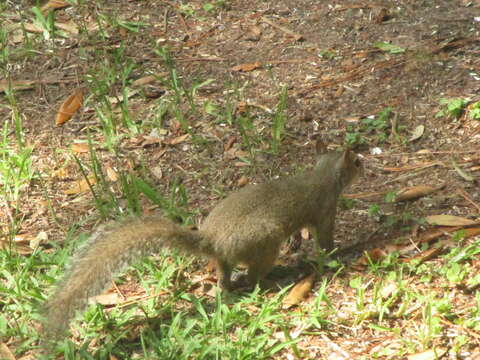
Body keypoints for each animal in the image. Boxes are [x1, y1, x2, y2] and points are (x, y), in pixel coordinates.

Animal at [42, 143, 364, 338]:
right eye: (357, 162)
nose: (364, 161)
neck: (322, 175)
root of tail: (213, 240)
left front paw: (298, 242)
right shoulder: (325, 210)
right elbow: (325, 241)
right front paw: (342, 252)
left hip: (230, 257)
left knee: (225, 277)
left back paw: (231, 286)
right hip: (265, 242)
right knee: (253, 276)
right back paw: (271, 280)